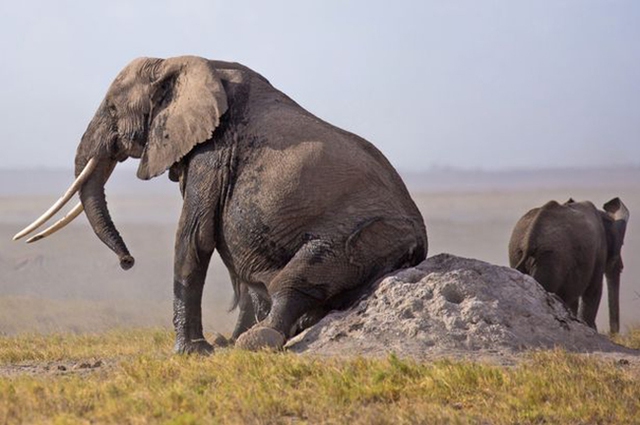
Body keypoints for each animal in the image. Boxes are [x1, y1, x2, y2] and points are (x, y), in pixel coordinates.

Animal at [12, 56, 428, 352]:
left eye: (113, 110)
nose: (127, 262)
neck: (181, 63)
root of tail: (421, 245)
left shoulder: (213, 152)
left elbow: (193, 239)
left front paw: (190, 352)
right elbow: (231, 257)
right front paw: (218, 345)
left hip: (369, 235)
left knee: (301, 274)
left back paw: (258, 340)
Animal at [510, 197, 632, 332]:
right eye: (622, 244)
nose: (613, 334)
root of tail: (528, 241)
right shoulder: (599, 252)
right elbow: (593, 291)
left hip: (519, 252)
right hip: (551, 261)